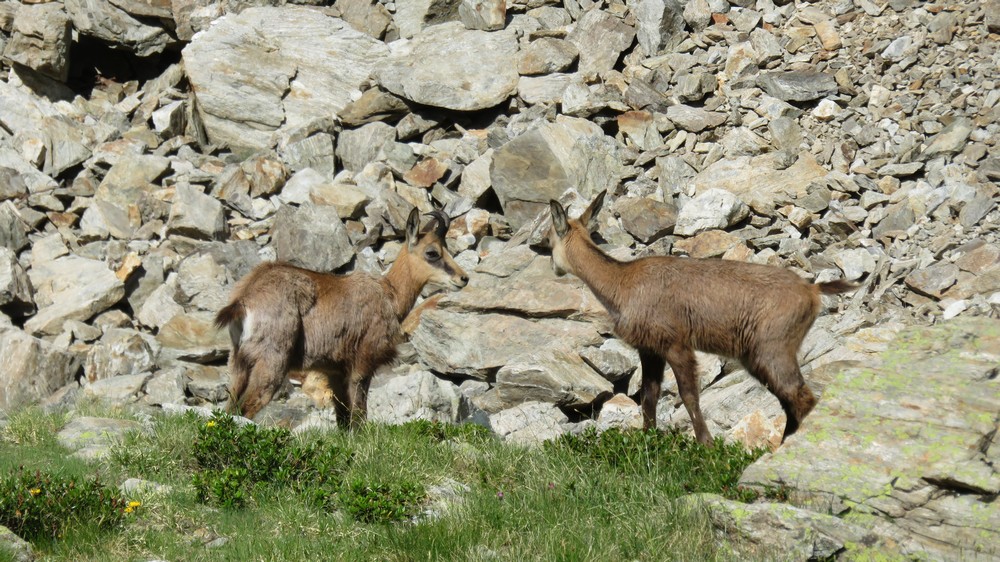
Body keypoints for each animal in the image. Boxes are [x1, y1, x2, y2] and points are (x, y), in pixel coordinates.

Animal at [214, 208, 468, 427]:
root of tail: (245, 299)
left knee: (230, 407)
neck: (390, 294)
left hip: (238, 364)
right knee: (248, 406)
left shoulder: (335, 370)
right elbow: (359, 414)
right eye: (432, 253)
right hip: (271, 362)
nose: (463, 278)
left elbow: (343, 418)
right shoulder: (362, 363)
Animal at [548, 191, 856, 446]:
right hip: (760, 357)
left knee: (801, 398)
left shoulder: (677, 345)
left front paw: (705, 444)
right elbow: (649, 397)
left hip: (773, 349)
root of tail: (812, 290)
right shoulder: (650, 350)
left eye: (549, 241)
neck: (622, 282)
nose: (555, 268)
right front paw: (648, 440)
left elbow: (689, 396)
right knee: (790, 401)